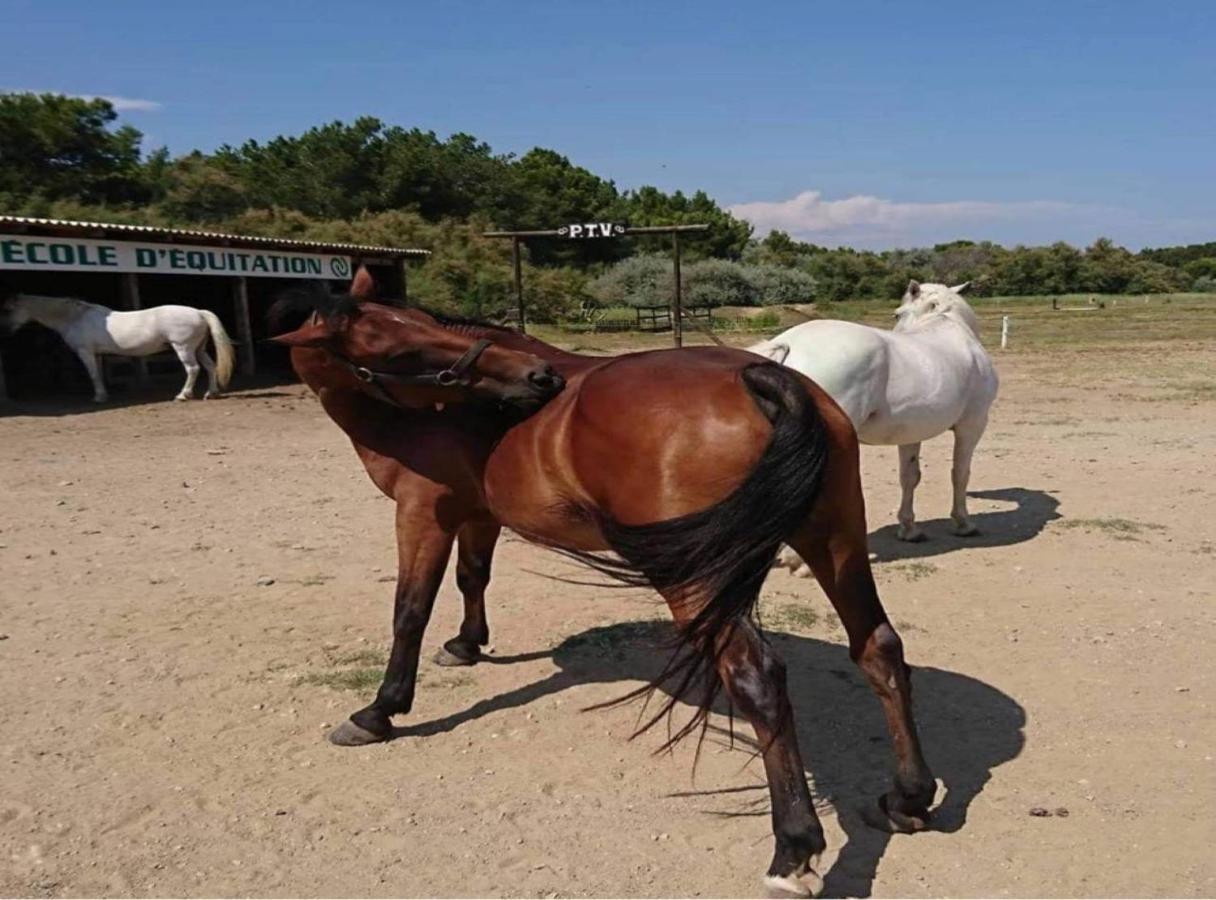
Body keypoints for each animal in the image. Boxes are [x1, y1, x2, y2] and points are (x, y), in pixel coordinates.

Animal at [1, 291, 237, 401]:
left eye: (8, 310)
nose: (6, 331)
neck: (75, 317)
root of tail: (198, 312)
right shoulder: (96, 354)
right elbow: (98, 374)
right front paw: (103, 395)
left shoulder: (85, 352)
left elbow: (93, 375)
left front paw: (98, 397)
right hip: (199, 348)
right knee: (210, 367)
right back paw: (211, 393)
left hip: (183, 348)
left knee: (193, 369)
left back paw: (182, 395)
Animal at [276, 271, 933, 895]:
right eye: (397, 343)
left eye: (417, 334)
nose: (537, 377)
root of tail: (763, 376)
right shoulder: (479, 515)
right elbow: (473, 577)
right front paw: (466, 643)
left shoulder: (422, 514)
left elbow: (409, 612)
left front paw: (380, 710)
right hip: (834, 542)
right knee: (878, 648)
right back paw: (908, 797)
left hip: (700, 578)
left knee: (760, 679)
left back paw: (793, 851)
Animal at [749, 280, 997, 574]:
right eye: (897, 314)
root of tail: (789, 344)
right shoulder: (972, 425)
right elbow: (960, 474)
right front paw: (964, 524)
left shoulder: (910, 435)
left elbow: (910, 477)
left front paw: (909, 529)